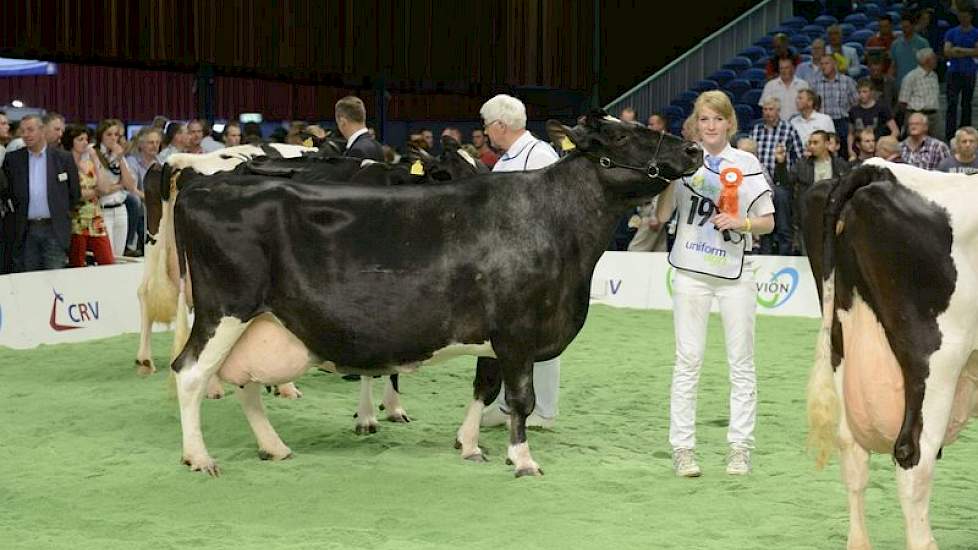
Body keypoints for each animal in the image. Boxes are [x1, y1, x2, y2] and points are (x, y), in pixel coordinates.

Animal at [170, 113, 700, 478]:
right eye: (622, 136)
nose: (695, 148)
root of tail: (206, 188)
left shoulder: (495, 338)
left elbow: (484, 387)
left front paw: (470, 445)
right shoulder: (518, 332)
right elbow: (521, 399)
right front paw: (522, 460)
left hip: (260, 319)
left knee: (244, 379)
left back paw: (273, 446)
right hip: (226, 309)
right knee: (191, 372)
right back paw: (199, 456)